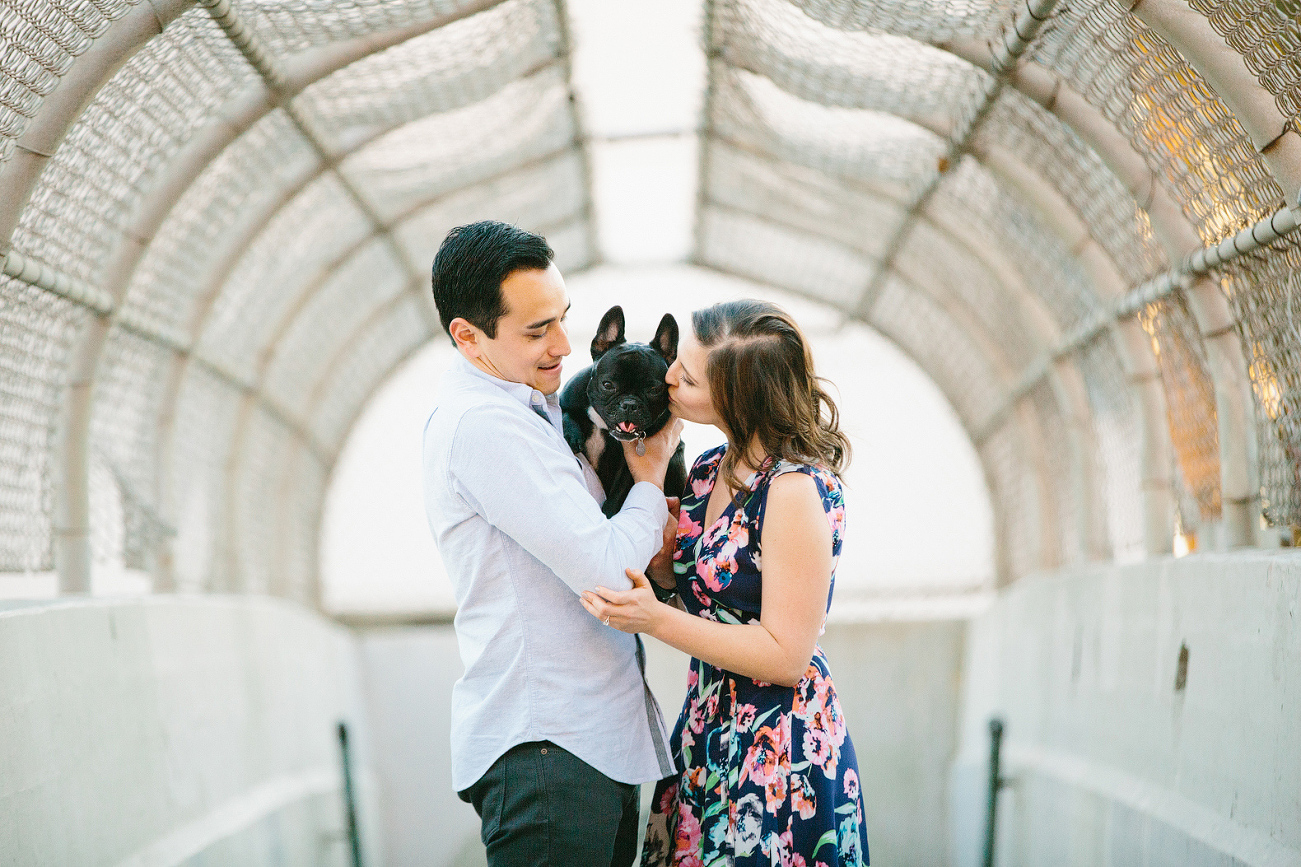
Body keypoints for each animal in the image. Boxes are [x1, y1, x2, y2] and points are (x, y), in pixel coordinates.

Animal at [562, 305, 686, 512]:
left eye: (654, 390)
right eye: (608, 385)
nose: (630, 404)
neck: (604, 426)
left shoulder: (629, 469)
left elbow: (618, 494)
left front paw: (608, 513)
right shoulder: (568, 397)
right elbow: (565, 412)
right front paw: (572, 434)